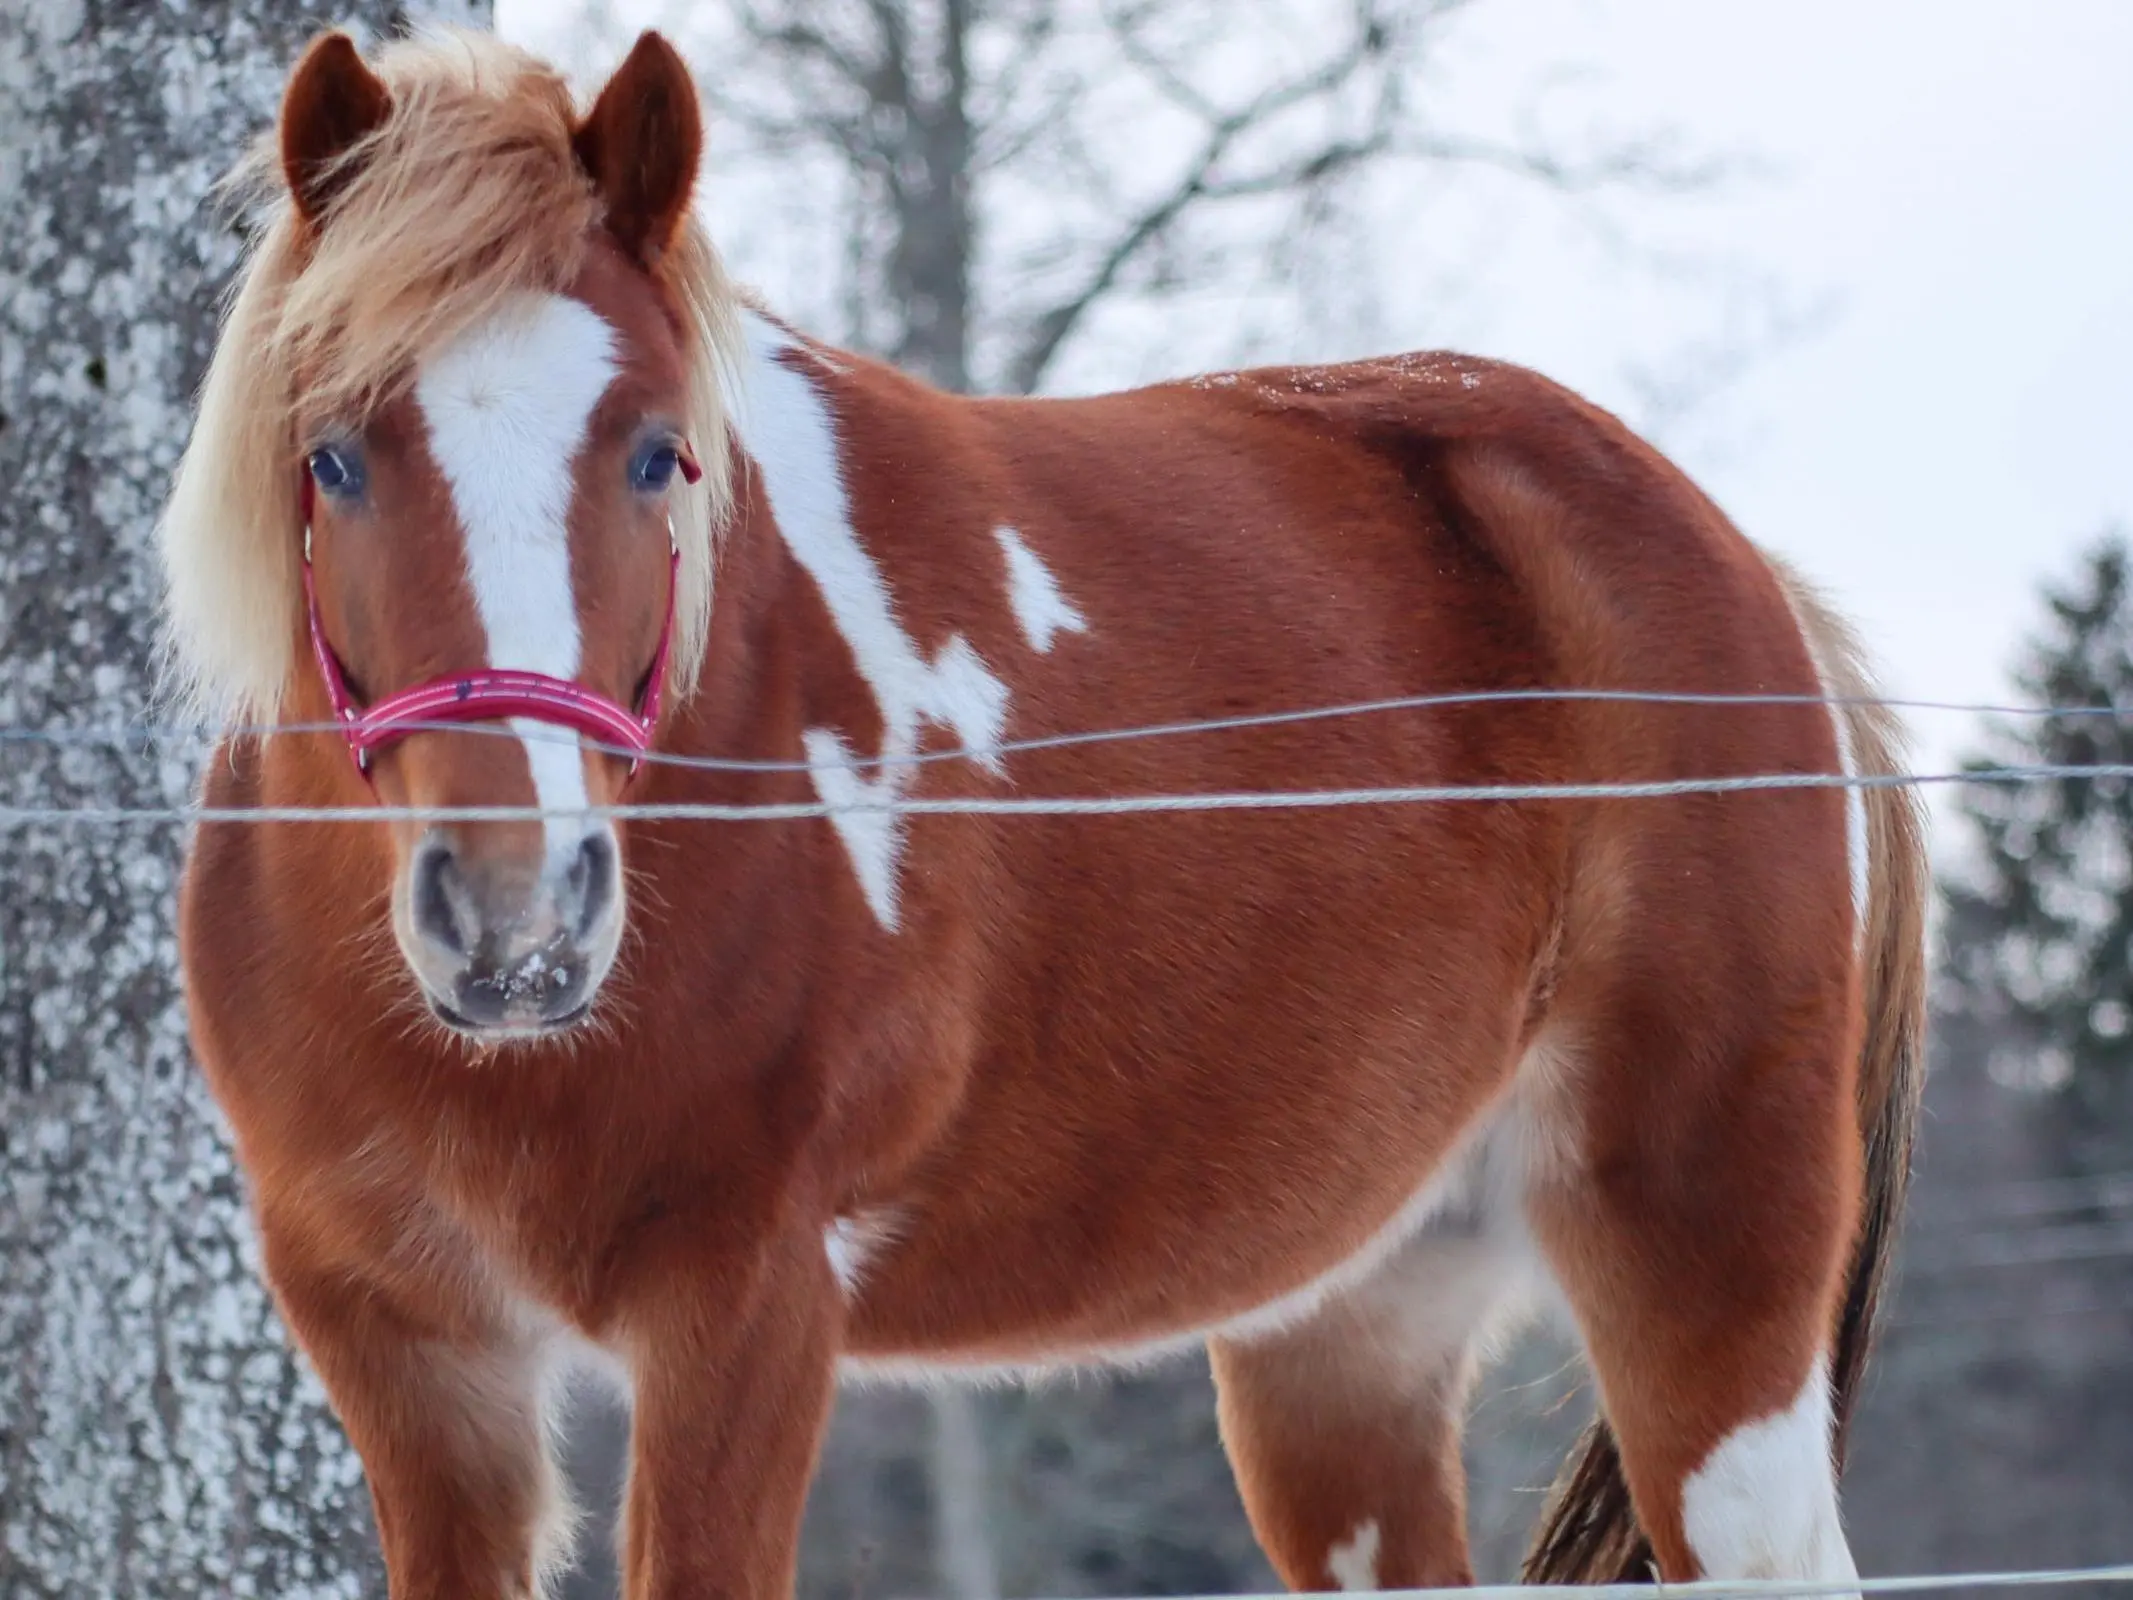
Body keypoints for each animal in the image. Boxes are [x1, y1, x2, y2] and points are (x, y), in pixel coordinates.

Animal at [162, 28, 1936, 1600]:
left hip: (1704, 1262)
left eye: (659, 454)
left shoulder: (743, 1307)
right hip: (1354, 1327)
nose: (518, 920)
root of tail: (1743, 568)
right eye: (334, 455)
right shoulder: (405, 1340)